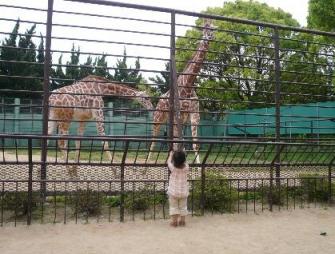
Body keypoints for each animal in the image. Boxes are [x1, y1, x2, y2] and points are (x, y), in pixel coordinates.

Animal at [150, 19, 215, 163]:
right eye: (205, 28)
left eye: (214, 28)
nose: (210, 37)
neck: (188, 85)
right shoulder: (177, 114)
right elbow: (178, 141)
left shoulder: (193, 113)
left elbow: (194, 143)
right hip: (158, 116)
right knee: (153, 138)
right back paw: (148, 161)